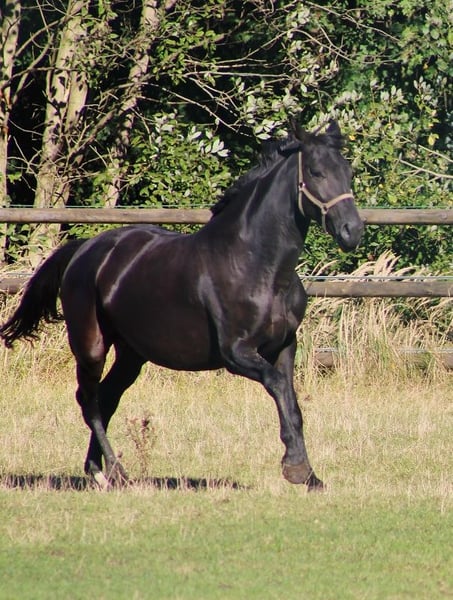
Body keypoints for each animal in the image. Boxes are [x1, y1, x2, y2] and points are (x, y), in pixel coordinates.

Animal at [1, 120, 364, 491]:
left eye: (347, 172)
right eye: (316, 172)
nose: (353, 232)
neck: (257, 265)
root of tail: (85, 249)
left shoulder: (284, 346)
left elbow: (291, 402)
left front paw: (307, 474)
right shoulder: (237, 353)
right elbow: (277, 387)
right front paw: (296, 469)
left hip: (132, 354)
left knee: (107, 397)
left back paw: (99, 470)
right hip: (90, 346)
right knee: (89, 401)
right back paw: (113, 471)